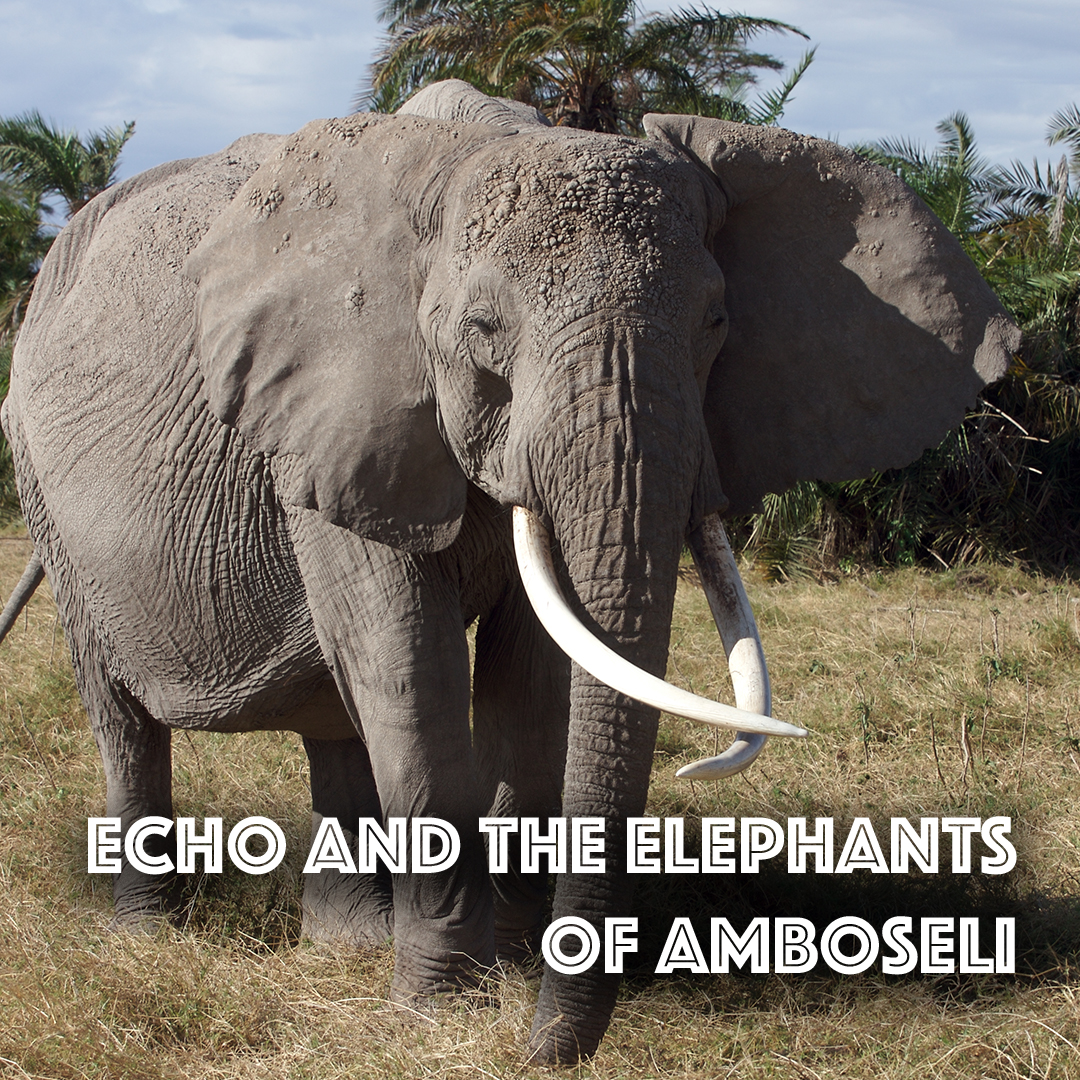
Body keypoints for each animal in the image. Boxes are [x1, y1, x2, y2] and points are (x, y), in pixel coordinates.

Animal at [0, 79, 1017, 1063]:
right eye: (482, 330)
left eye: (717, 322)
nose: (536, 1054)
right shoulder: (336, 414)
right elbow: (410, 662)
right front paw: (439, 1009)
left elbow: (533, 672)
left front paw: (519, 962)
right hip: (42, 481)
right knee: (127, 713)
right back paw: (147, 936)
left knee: (334, 713)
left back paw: (349, 944)